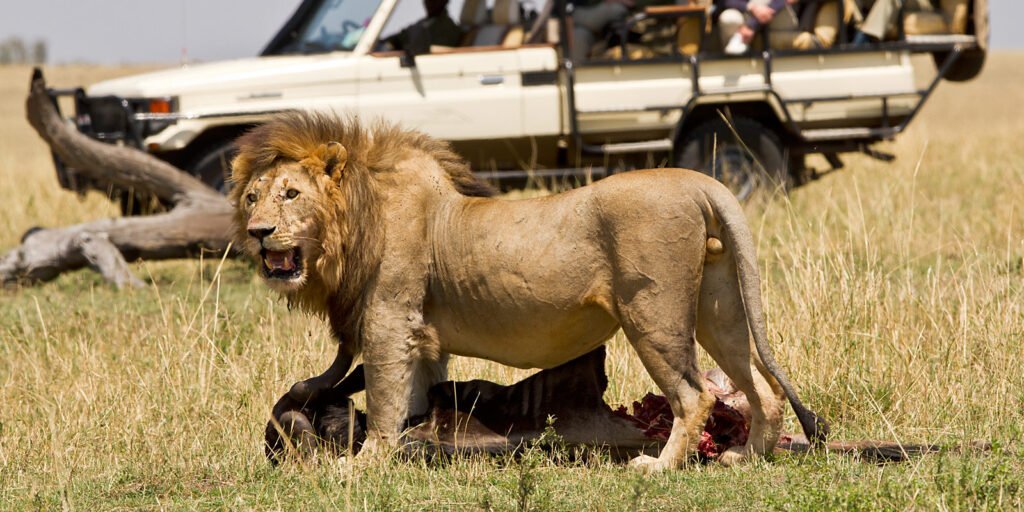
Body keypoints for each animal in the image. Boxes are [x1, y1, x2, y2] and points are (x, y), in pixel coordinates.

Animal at [228, 113, 827, 471]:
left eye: (291, 194)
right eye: (253, 197)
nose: (258, 233)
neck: (353, 223)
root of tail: (699, 181)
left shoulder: (388, 324)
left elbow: (382, 401)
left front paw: (363, 462)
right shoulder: (421, 339)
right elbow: (414, 398)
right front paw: (416, 442)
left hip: (653, 314)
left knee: (695, 394)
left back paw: (661, 466)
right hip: (718, 311)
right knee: (763, 389)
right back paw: (747, 456)